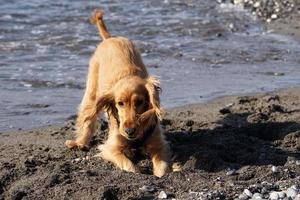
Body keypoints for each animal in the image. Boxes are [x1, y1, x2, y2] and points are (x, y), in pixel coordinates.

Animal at [65, 10, 169, 177]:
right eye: (120, 103)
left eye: (139, 102)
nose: (129, 131)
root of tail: (110, 38)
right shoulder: (111, 147)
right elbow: (130, 166)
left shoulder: (159, 144)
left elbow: (162, 169)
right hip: (91, 91)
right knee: (87, 118)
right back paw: (80, 143)